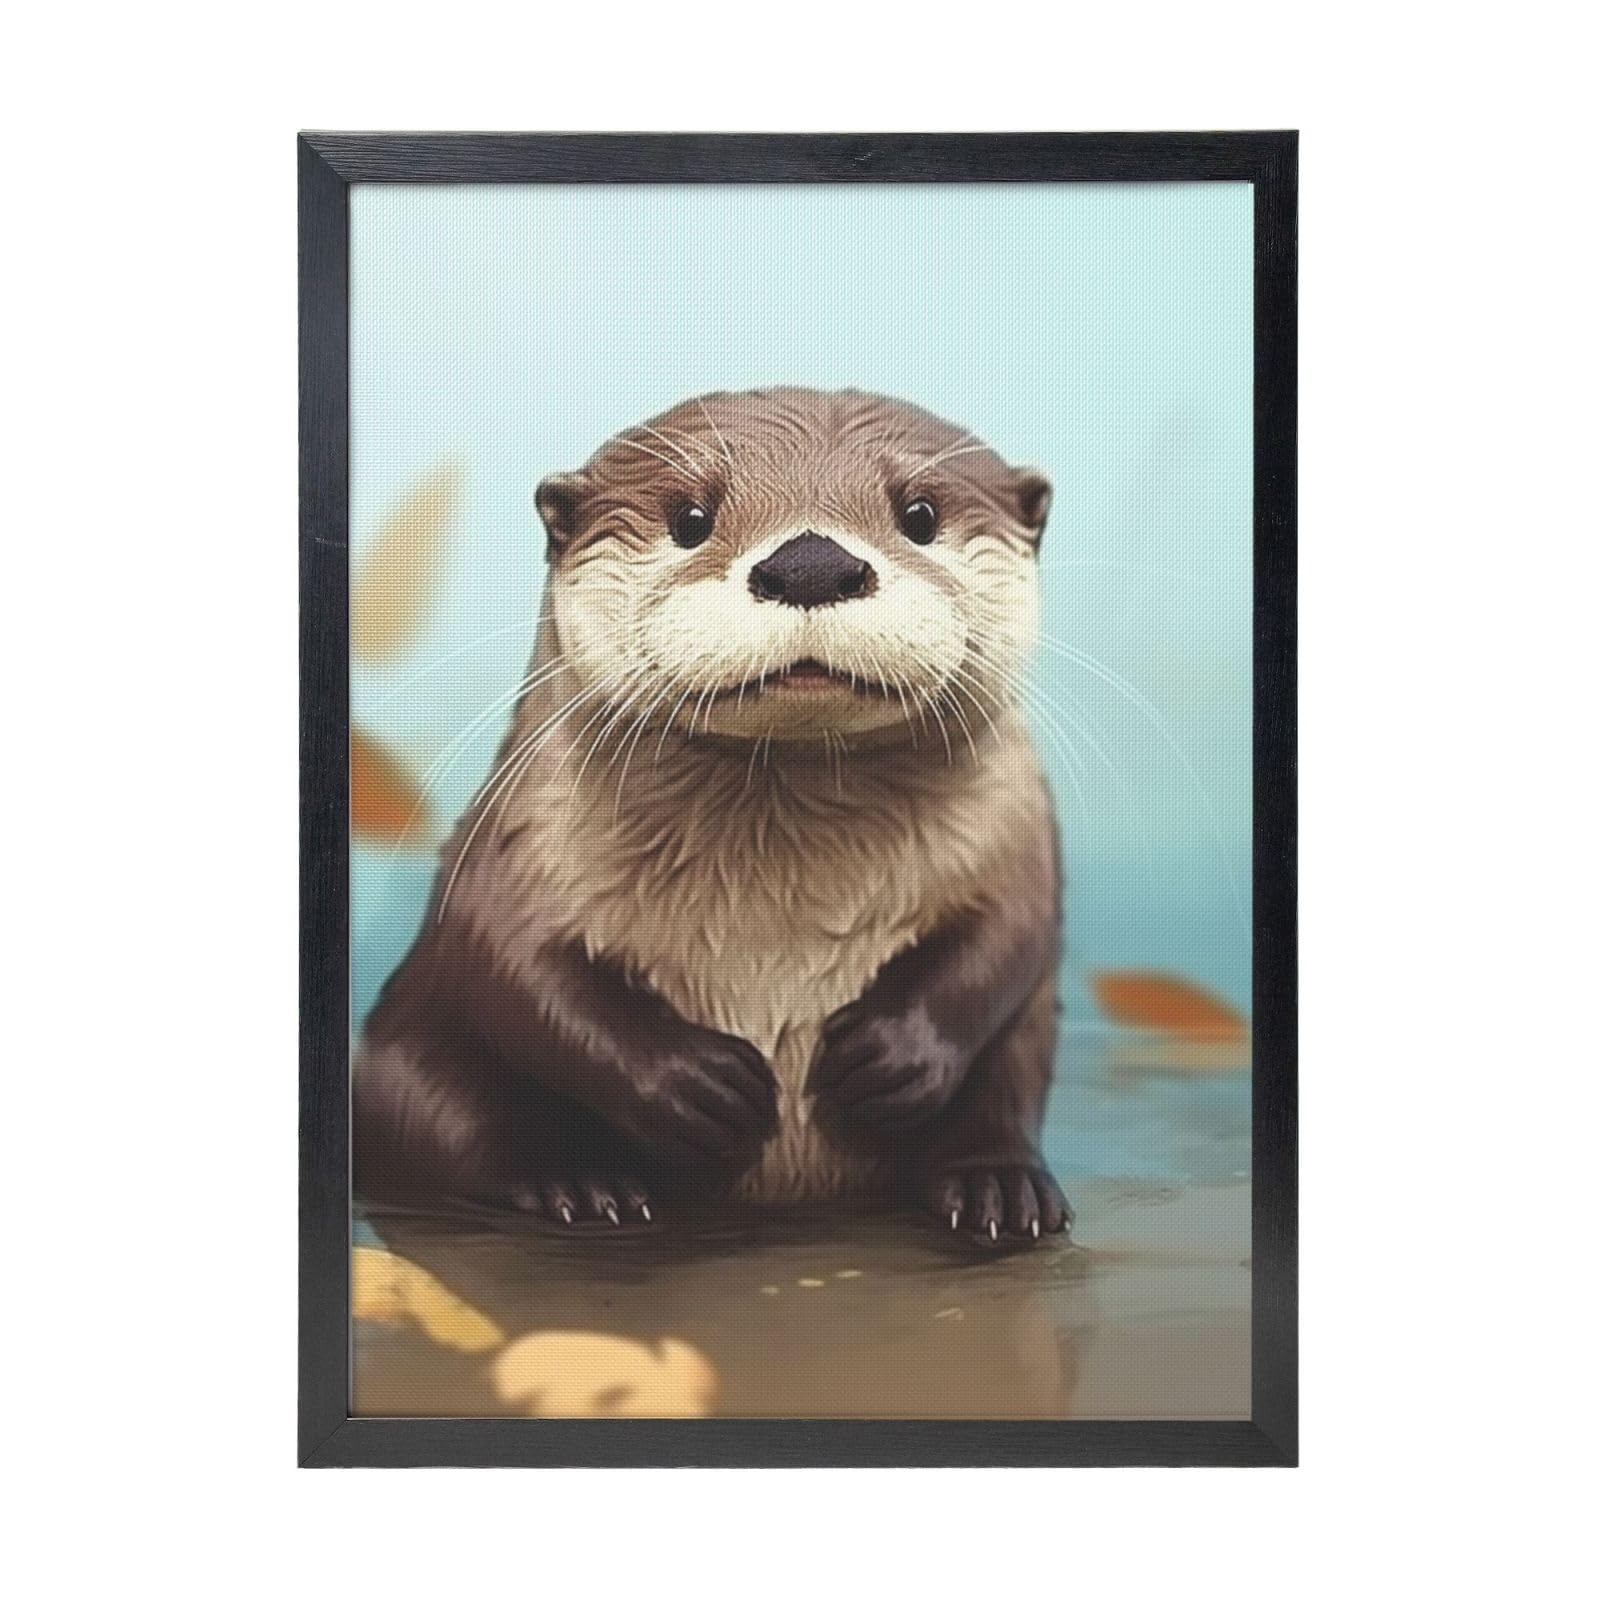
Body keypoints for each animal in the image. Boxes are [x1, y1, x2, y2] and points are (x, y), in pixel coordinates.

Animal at [354, 388, 1070, 1244]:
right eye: (691, 517)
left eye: (921, 514)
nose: (811, 564)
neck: (784, 901)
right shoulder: (519, 837)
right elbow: (510, 962)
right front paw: (694, 1084)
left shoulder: (1018, 828)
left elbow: (1010, 936)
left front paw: (891, 1052)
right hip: (406, 1063)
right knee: (458, 1122)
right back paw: (579, 1180)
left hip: (1026, 1039)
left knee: (1004, 1085)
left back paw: (999, 1184)